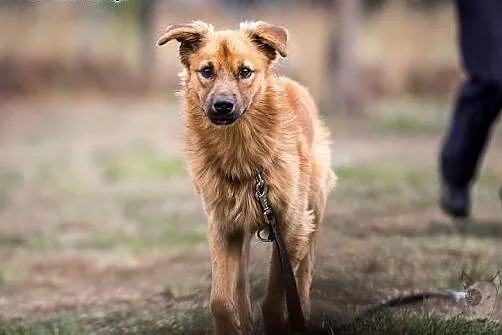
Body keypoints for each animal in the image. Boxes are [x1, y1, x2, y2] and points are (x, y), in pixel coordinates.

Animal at [159, 21, 336, 335]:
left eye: (245, 71)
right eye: (207, 71)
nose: (223, 105)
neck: (241, 152)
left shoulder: (291, 226)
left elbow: (276, 294)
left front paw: (279, 323)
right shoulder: (223, 226)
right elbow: (220, 300)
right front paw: (233, 325)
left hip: (314, 206)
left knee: (306, 267)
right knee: (240, 283)